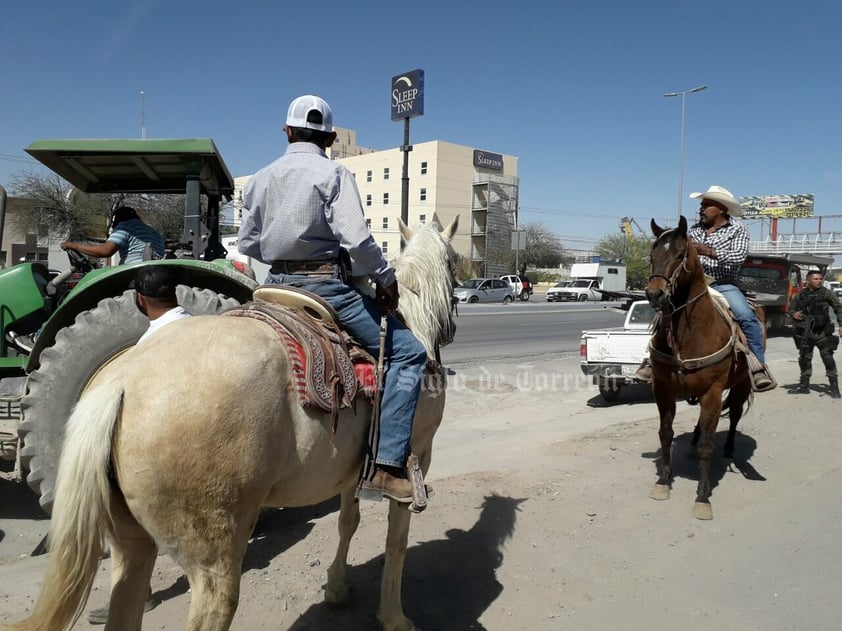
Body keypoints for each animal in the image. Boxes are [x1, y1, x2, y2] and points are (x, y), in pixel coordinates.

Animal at [644, 215, 760, 520]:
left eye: (680, 255)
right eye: (651, 256)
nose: (655, 294)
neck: (688, 333)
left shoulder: (713, 391)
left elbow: (709, 446)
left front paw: (703, 497)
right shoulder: (664, 389)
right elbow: (665, 434)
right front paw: (663, 482)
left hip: (741, 384)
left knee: (733, 417)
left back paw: (729, 448)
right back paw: (694, 441)